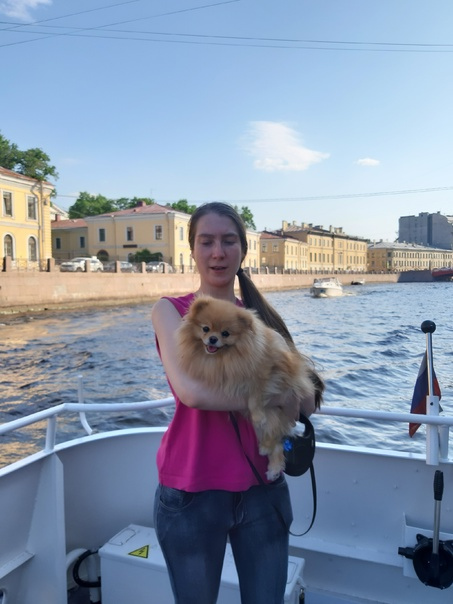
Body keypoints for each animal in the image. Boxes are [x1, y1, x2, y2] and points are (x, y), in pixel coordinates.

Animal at [177, 296, 315, 480]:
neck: (228, 356)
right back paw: (270, 461)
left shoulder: (265, 373)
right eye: (205, 329)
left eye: (225, 333)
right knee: (277, 443)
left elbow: (255, 396)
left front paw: (257, 415)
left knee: (276, 439)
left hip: (275, 415)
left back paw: (270, 459)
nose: (212, 338)